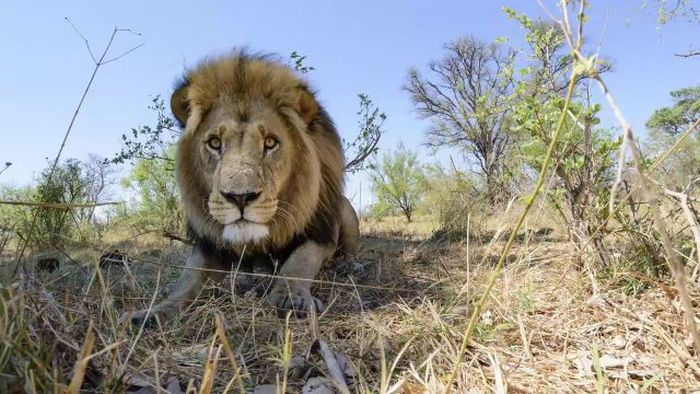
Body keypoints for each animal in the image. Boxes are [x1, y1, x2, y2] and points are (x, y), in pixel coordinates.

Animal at [122, 51, 358, 326]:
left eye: (270, 143)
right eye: (215, 143)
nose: (240, 197)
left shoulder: (321, 233)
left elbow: (300, 262)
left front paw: (291, 298)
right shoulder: (209, 245)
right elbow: (186, 282)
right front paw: (152, 313)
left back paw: (350, 266)